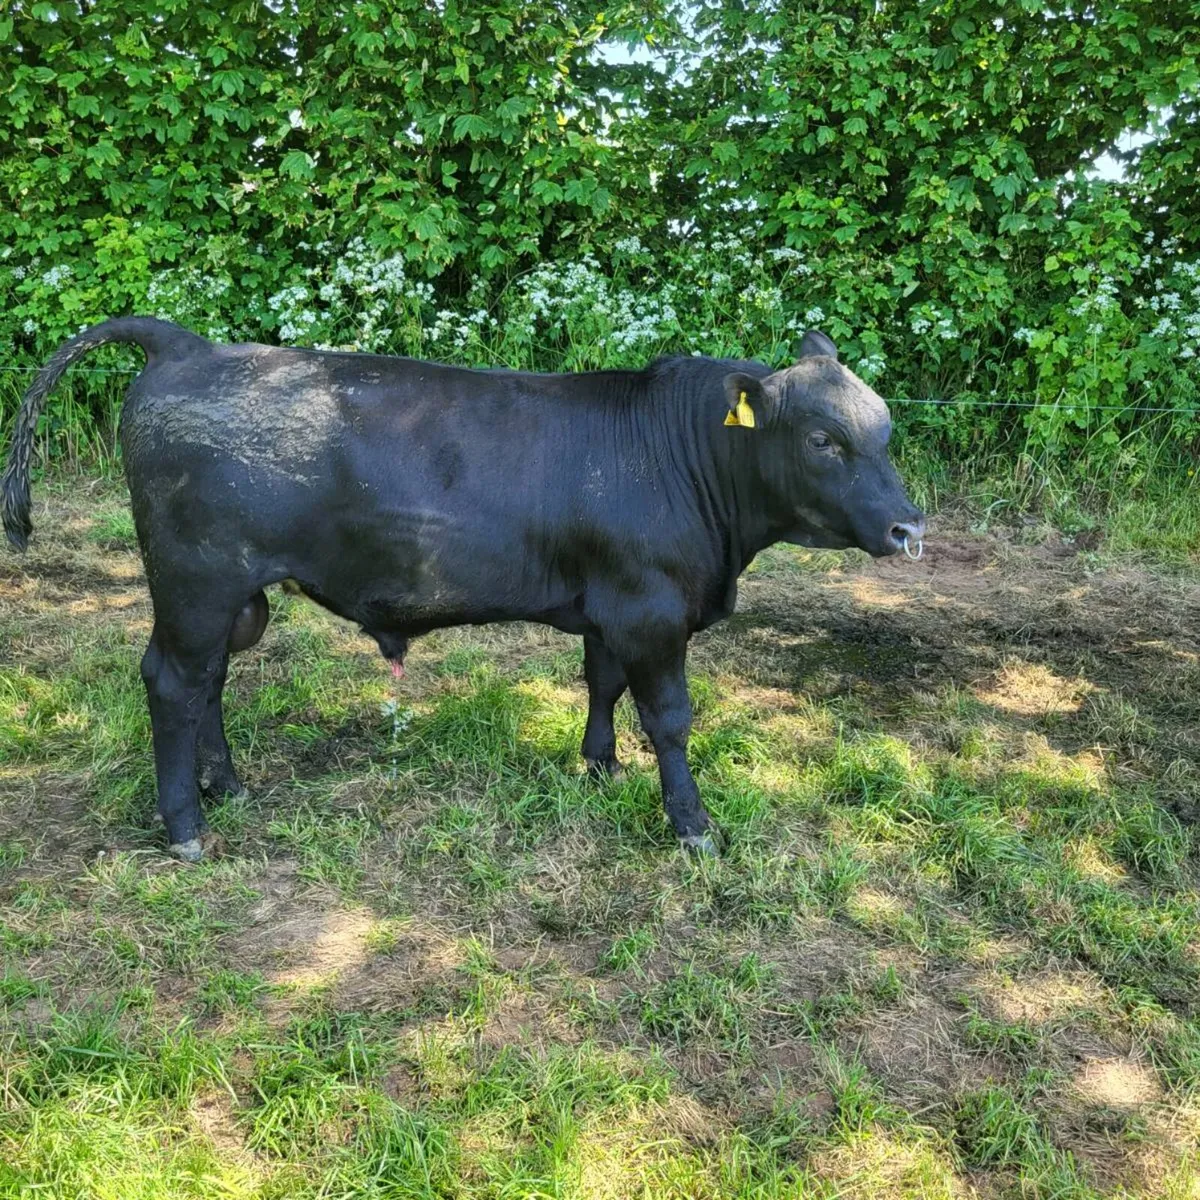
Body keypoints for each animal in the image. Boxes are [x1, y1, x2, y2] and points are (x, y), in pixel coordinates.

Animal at [2, 318, 924, 861]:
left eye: (883, 429)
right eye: (822, 440)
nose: (910, 529)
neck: (671, 453)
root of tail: (188, 345)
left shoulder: (609, 607)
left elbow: (601, 684)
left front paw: (598, 766)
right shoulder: (652, 612)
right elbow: (669, 717)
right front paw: (691, 824)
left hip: (232, 600)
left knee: (208, 684)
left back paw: (223, 785)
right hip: (197, 583)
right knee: (172, 683)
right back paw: (186, 829)